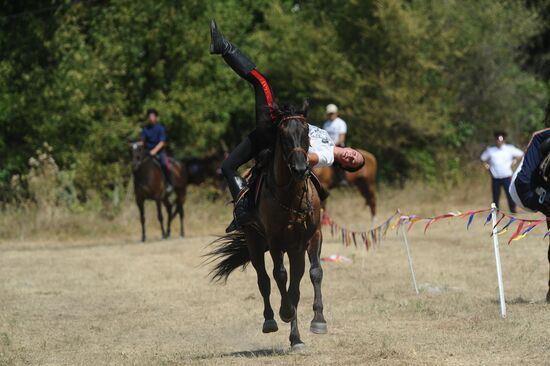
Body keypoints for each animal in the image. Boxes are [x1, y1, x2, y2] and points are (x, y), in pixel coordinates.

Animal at [207, 104, 328, 350]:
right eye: (283, 136)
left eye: (306, 133)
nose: (300, 168)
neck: (290, 195)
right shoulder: (274, 241)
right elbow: (279, 276)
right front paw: (285, 312)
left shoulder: (313, 236)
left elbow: (315, 272)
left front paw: (318, 320)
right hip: (255, 243)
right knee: (264, 279)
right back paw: (271, 321)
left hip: (295, 249)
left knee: (295, 286)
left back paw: (296, 338)